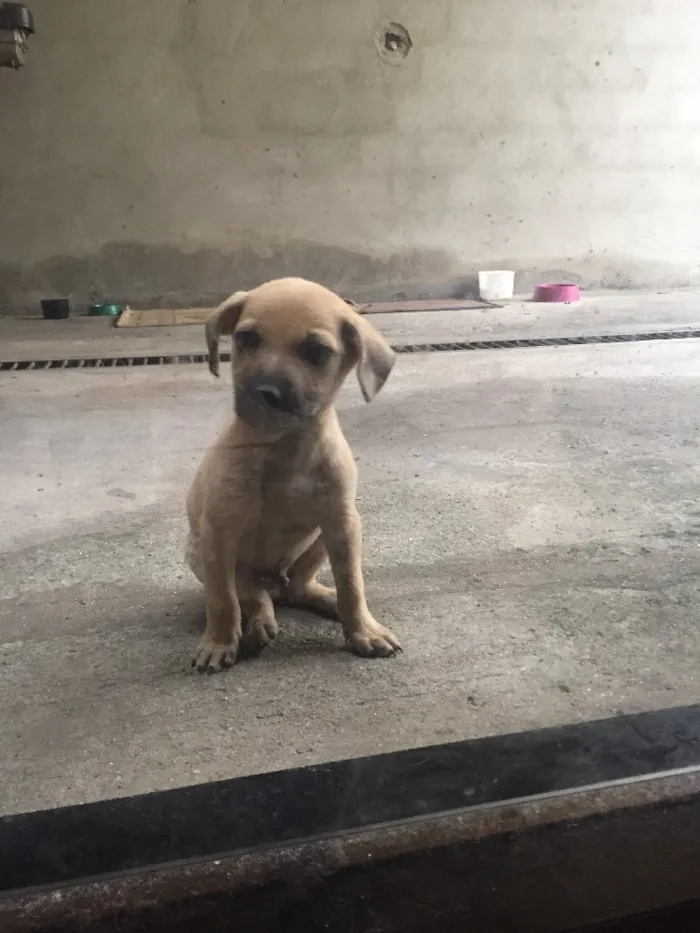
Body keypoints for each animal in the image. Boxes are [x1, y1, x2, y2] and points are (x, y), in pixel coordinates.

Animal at [186, 274, 402, 672]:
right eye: (245, 338)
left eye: (316, 351)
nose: (264, 393)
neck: (283, 448)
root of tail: (275, 582)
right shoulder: (218, 532)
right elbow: (222, 601)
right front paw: (219, 642)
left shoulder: (342, 522)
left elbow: (352, 584)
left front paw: (362, 629)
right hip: (199, 555)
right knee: (251, 594)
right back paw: (258, 623)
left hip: (319, 541)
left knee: (298, 587)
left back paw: (325, 600)